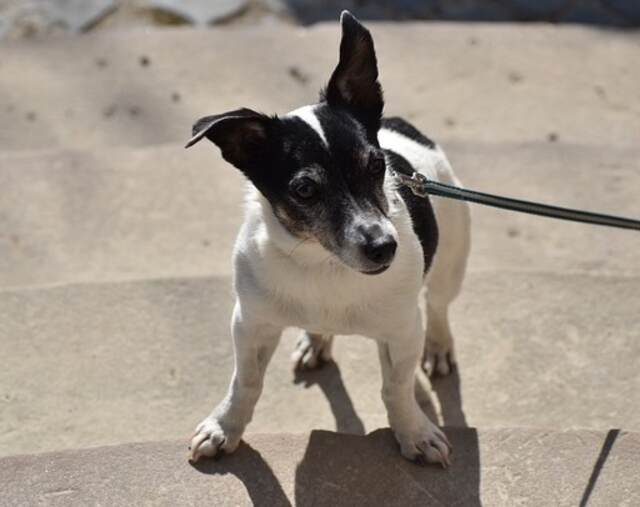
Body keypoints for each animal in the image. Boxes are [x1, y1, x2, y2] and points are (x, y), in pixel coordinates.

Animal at [185, 9, 470, 468]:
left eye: (376, 166)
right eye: (304, 190)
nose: (383, 247)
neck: (322, 263)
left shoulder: (402, 331)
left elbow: (396, 388)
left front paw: (413, 432)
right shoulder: (250, 323)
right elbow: (245, 382)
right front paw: (224, 426)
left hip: (451, 262)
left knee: (439, 305)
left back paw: (439, 346)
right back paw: (315, 340)